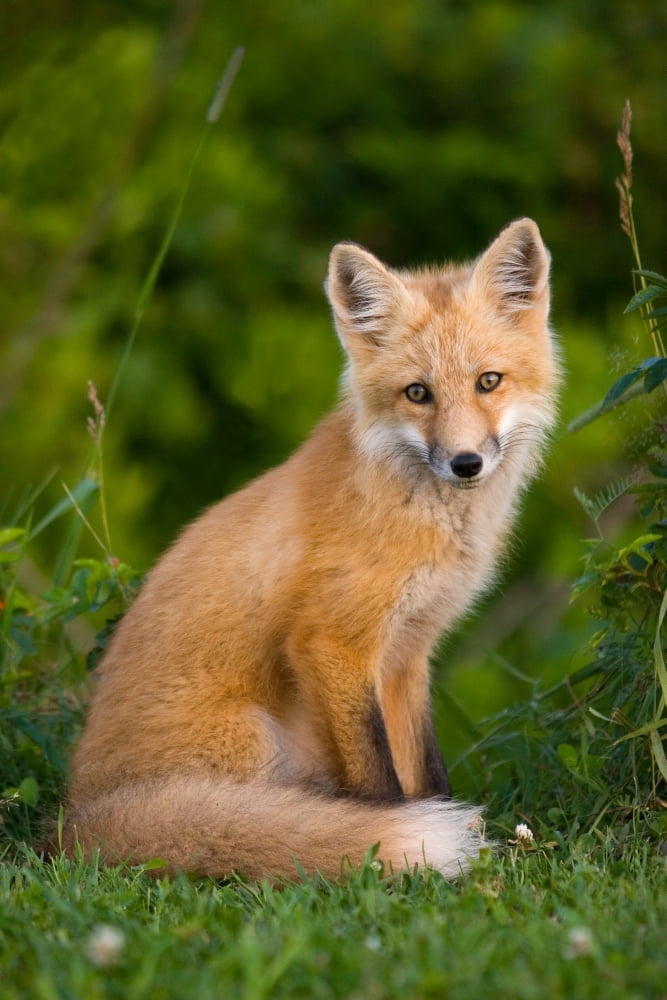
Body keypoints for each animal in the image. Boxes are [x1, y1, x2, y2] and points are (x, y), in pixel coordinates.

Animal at [60, 218, 560, 882]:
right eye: (418, 393)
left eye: (489, 381)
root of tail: (76, 822)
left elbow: (427, 772)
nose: (465, 463)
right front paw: (387, 849)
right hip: (258, 739)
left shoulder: (407, 654)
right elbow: (382, 781)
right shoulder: (332, 643)